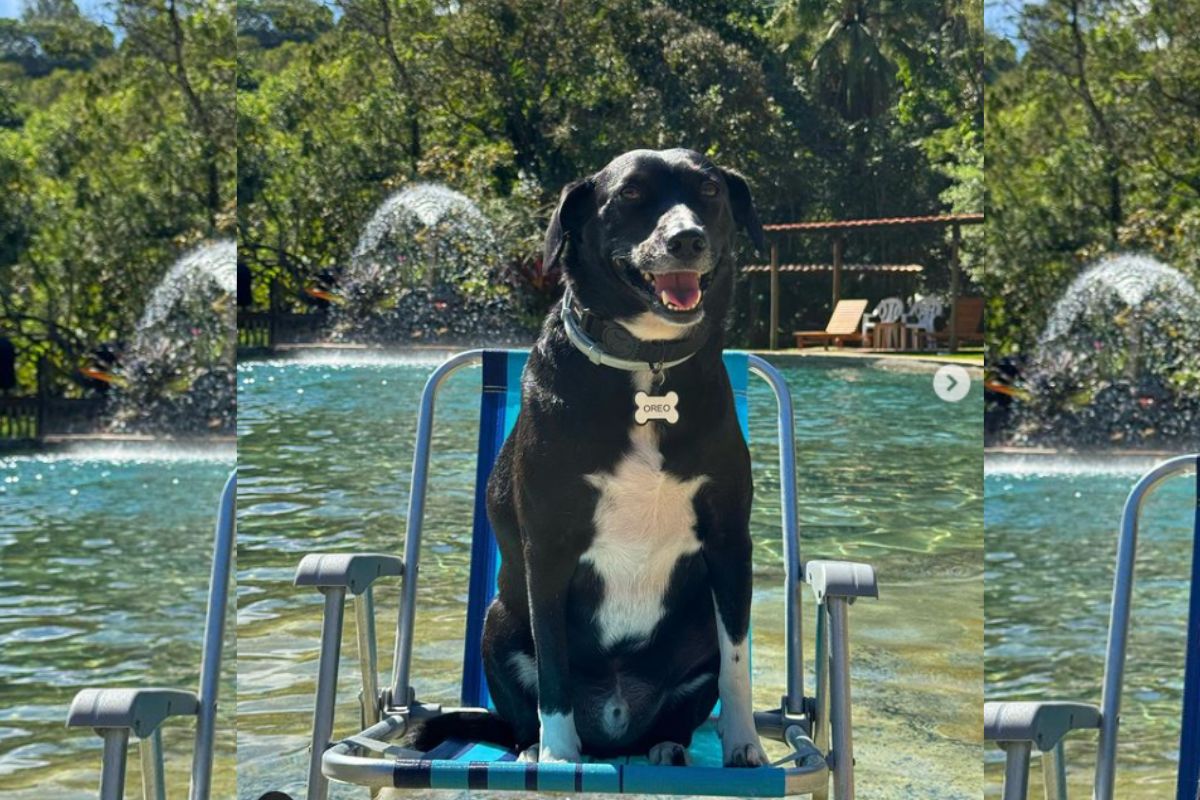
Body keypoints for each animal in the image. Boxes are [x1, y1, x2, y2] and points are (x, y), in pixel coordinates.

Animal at [420, 148, 768, 767]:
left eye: (709, 190)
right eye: (629, 194)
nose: (687, 239)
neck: (648, 365)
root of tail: (616, 724)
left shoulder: (730, 541)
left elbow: (736, 664)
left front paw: (743, 744)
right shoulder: (548, 550)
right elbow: (553, 670)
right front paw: (560, 757)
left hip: (694, 631)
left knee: (681, 711)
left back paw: (667, 746)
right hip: (497, 620)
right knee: (521, 713)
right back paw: (533, 749)